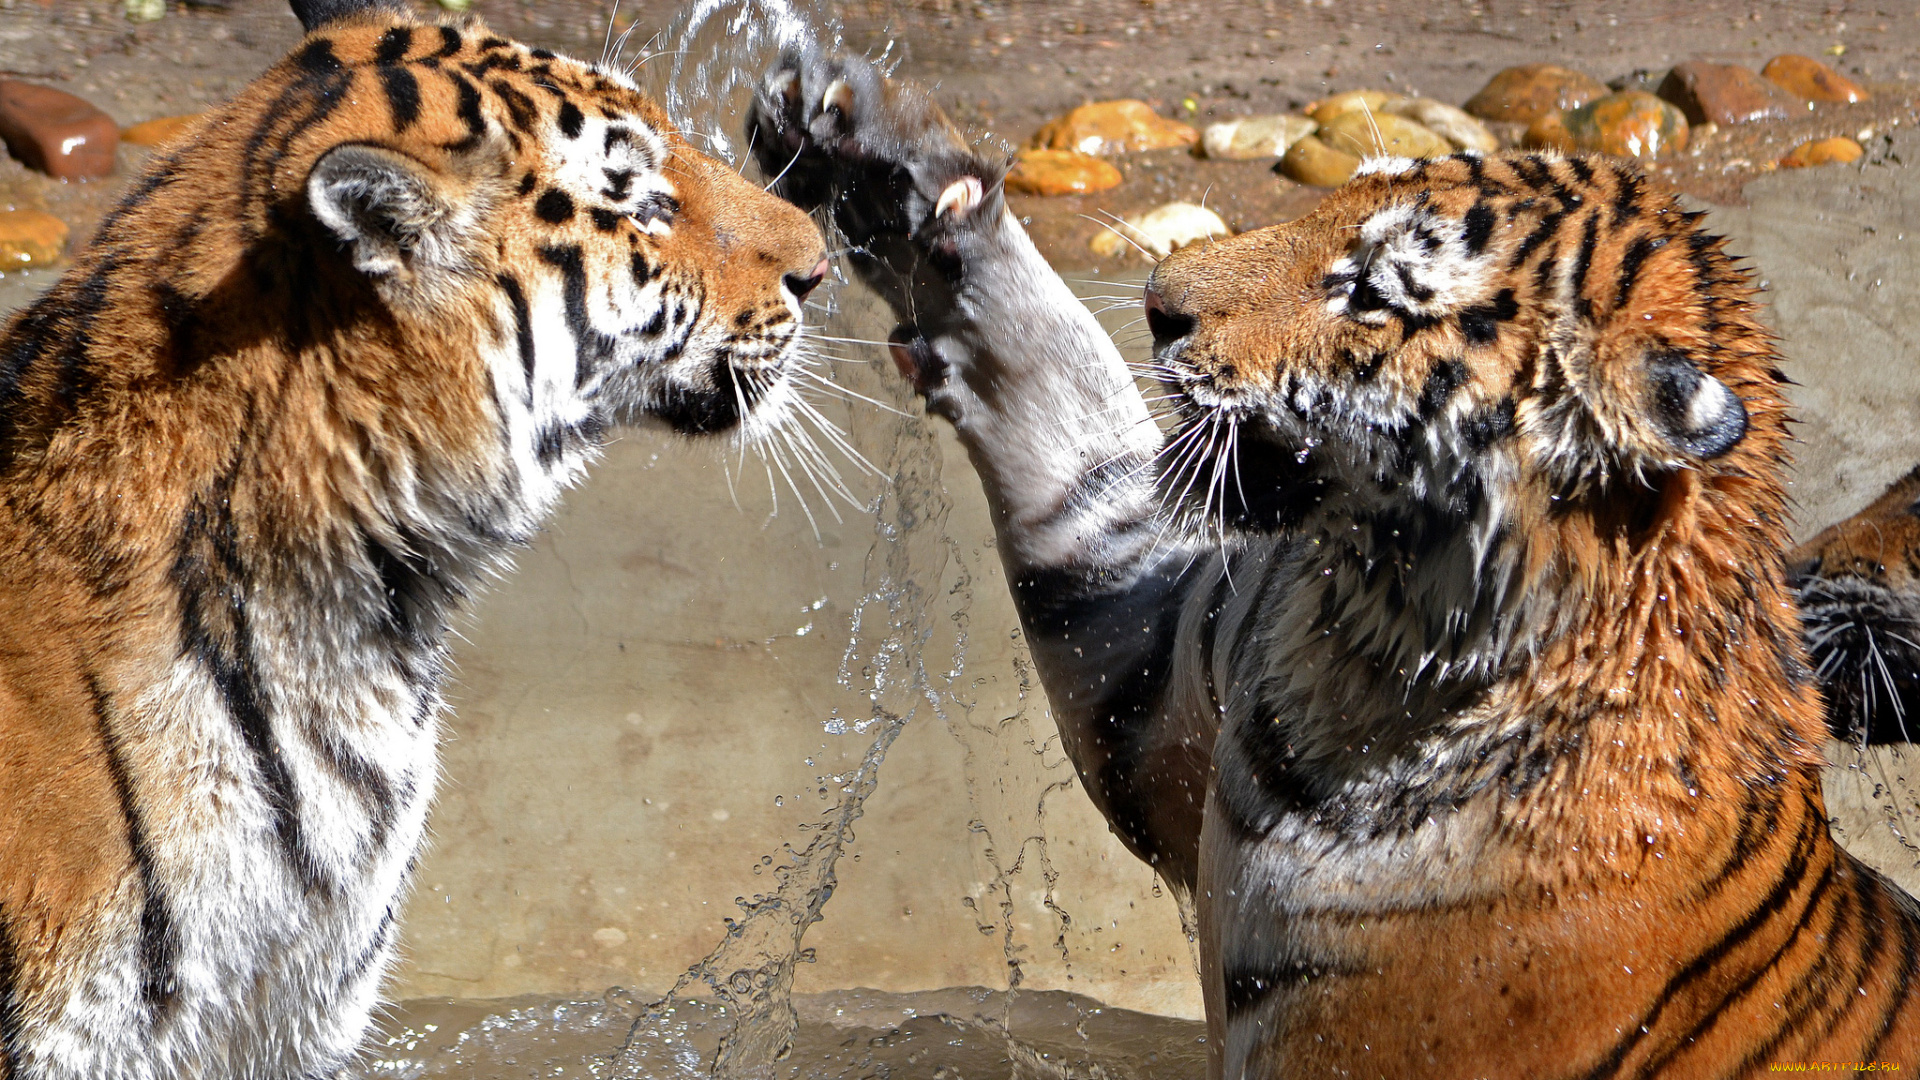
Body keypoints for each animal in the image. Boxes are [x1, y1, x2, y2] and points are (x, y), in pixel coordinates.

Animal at [749, 47, 1920, 1077]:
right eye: (1334, 204)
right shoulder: (1165, 659)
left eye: (1369, 292)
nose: (1159, 304)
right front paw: (878, 162)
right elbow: (1060, 413)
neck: (1361, 644)